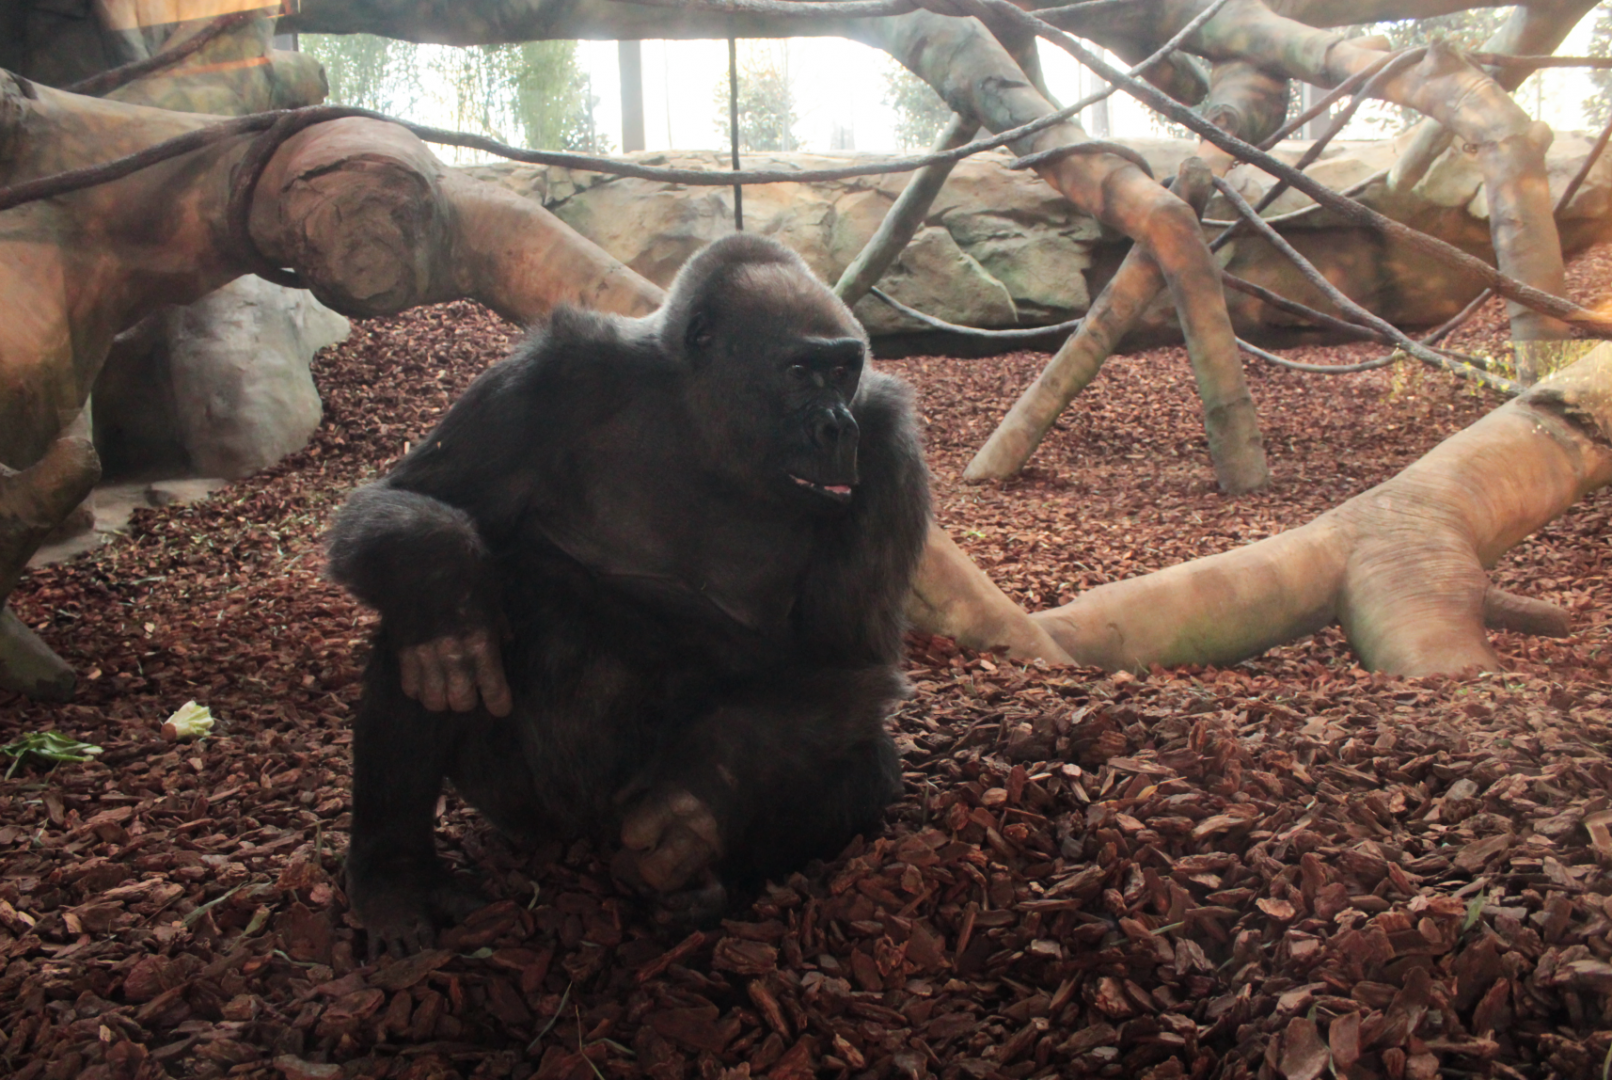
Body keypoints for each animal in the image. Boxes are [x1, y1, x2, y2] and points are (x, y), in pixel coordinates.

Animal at [326, 234, 931, 956]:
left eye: (844, 372)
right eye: (801, 372)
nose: (838, 429)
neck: (703, 427)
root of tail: (580, 837)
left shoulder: (888, 447)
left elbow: (846, 660)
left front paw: (700, 796)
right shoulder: (553, 373)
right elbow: (407, 500)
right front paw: (441, 578)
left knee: (865, 769)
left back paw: (707, 889)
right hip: (512, 803)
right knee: (425, 635)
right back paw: (395, 873)